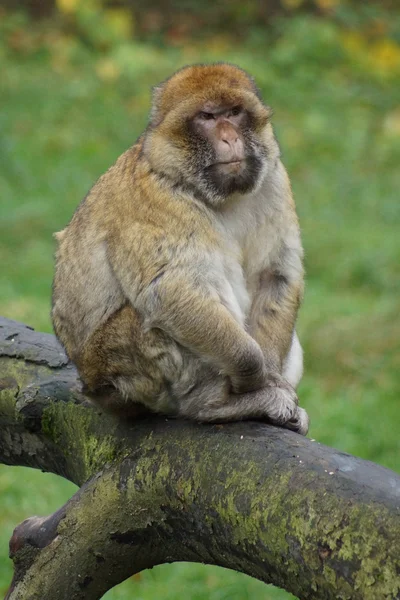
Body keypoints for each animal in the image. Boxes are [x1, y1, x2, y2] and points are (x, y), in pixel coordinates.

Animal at [50, 63, 310, 434]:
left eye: (234, 112)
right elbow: (171, 289)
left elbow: (276, 274)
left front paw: (271, 373)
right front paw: (255, 375)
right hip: (119, 368)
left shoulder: (274, 179)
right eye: (207, 117)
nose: (230, 137)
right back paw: (213, 405)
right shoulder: (159, 198)